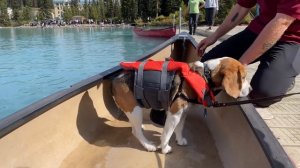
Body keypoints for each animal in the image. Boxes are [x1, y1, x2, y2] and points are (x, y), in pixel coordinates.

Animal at [111, 57, 252, 154]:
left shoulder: (183, 112)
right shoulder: (175, 113)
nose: (251, 89)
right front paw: (165, 148)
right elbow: (167, 133)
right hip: (134, 110)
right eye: (243, 77)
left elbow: (179, 128)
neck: (205, 74)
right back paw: (148, 145)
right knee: (135, 132)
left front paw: (179, 140)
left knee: (136, 127)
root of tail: (115, 80)